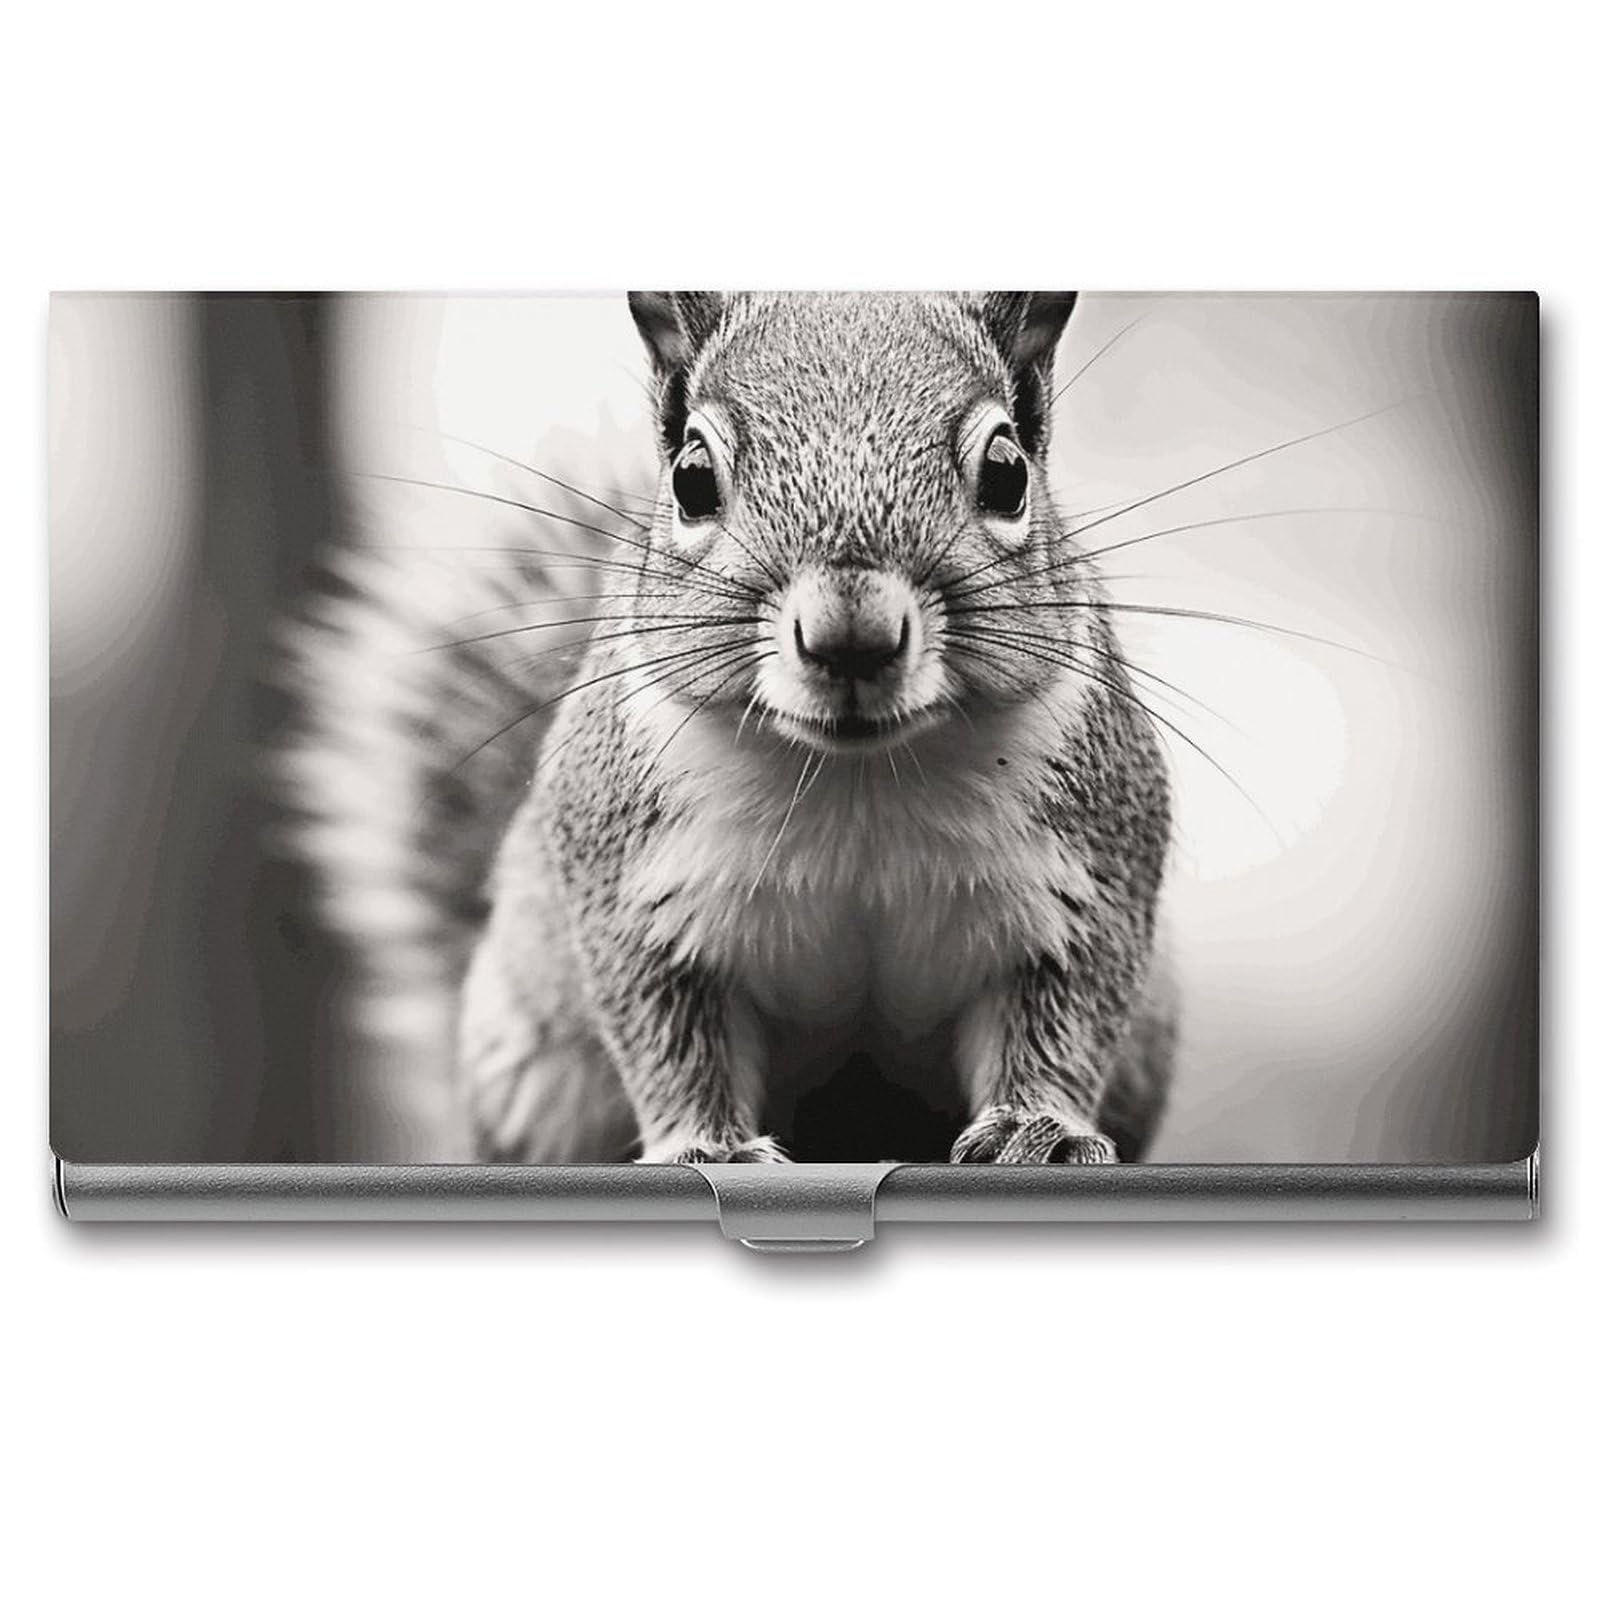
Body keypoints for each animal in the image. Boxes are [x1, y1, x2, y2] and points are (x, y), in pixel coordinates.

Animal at [284, 292, 1177, 1165]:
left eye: (1006, 473)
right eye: (690, 479)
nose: (851, 636)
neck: (855, 778)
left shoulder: (1088, 882)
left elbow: (1066, 1020)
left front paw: (1039, 1125)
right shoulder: (634, 895)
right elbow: (670, 1040)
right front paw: (704, 1146)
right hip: (536, 1062)